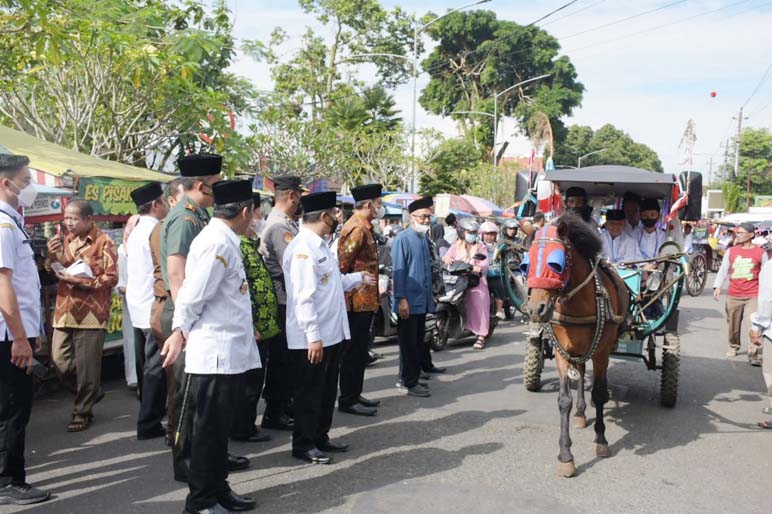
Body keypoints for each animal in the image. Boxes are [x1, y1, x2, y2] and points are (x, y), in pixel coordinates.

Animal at [520, 211, 632, 476]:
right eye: (525, 264)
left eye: (555, 264)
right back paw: (581, 412)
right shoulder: (563, 351)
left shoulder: (602, 351)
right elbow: (564, 401)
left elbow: (600, 394)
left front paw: (601, 440)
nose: (535, 309)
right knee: (580, 372)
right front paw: (565, 455)